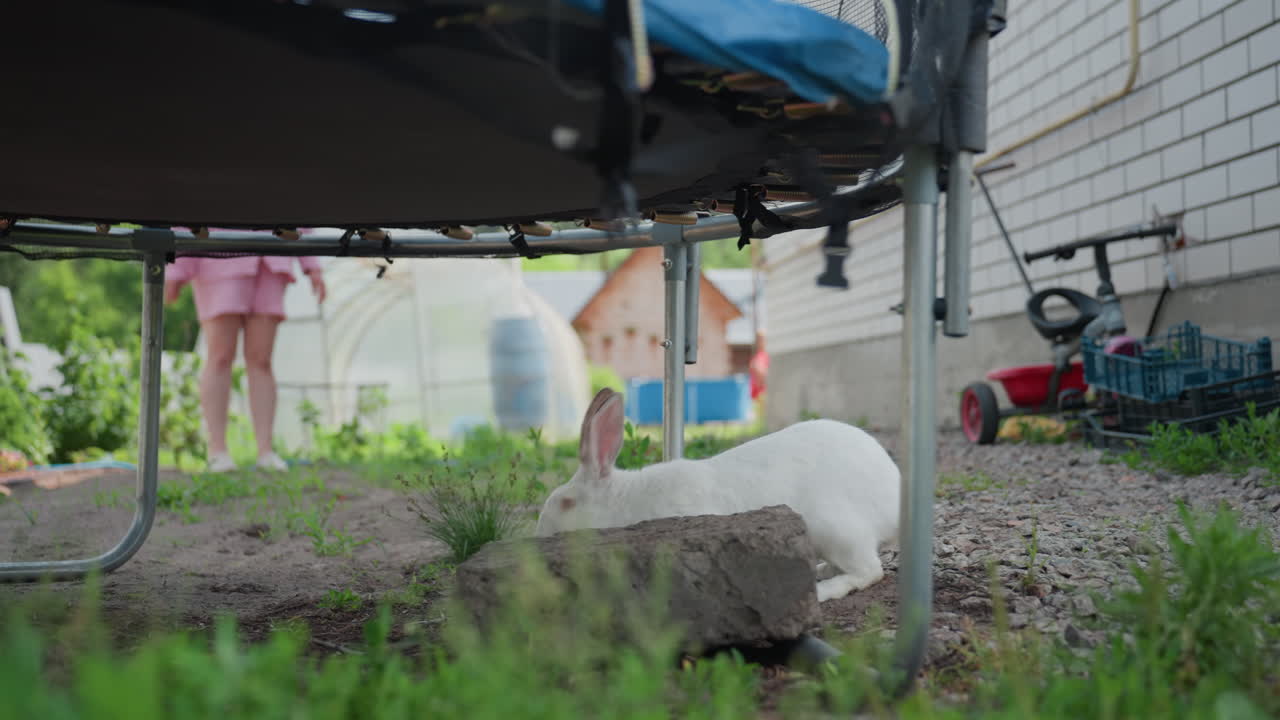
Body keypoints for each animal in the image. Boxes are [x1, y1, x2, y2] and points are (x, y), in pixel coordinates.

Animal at [534, 387, 901, 602]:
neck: (624, 501)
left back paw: (824, 590)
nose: (539, 533)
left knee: (870, 571)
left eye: (565, 502)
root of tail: (894, 498)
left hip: (835, 529)